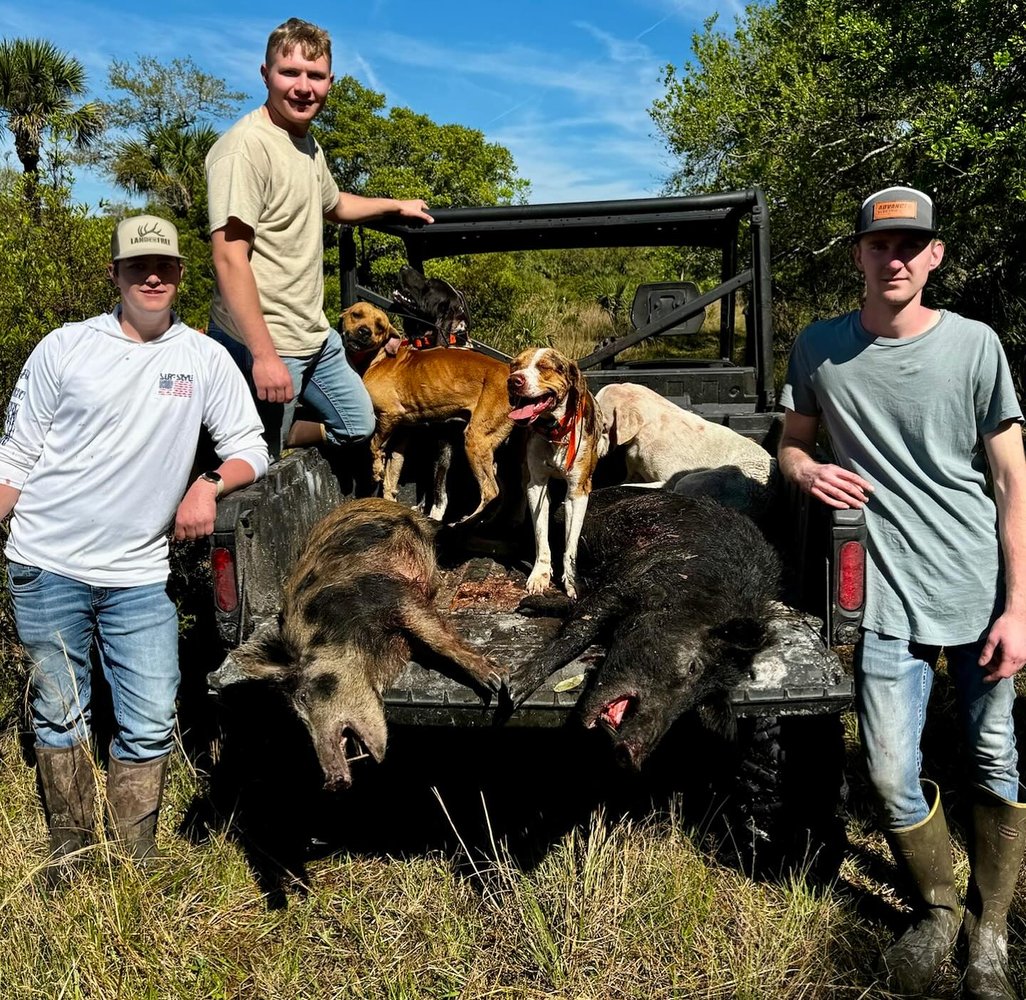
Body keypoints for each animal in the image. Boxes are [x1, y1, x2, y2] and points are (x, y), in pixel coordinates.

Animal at [340, 303, 513, 523]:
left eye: (380, 326)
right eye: (356, 314)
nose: (364, 332)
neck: (379, 357)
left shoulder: (389, 415)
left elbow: (374, 445)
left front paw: (376, 469)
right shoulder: (401, 433)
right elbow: (391, 473)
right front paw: (389, 499)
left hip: (475, 440)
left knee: (490, 491)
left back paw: (464, 522)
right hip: (489, 446)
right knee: (500, 490)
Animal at [504, 488, 775, 771]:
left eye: (702, 698)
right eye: (693, 667)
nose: (632, 756)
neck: (694, 598)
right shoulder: (629, 582)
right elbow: (580, 630)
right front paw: (513, 691)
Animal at [506, 348, 607, 598]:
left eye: (544, 367)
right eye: (514, 365)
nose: (514, 380)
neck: (555, 432)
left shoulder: (577, 492)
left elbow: (570, 544)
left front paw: (572, 581)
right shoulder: (537, 485)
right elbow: (541, 535)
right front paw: (540, 574)